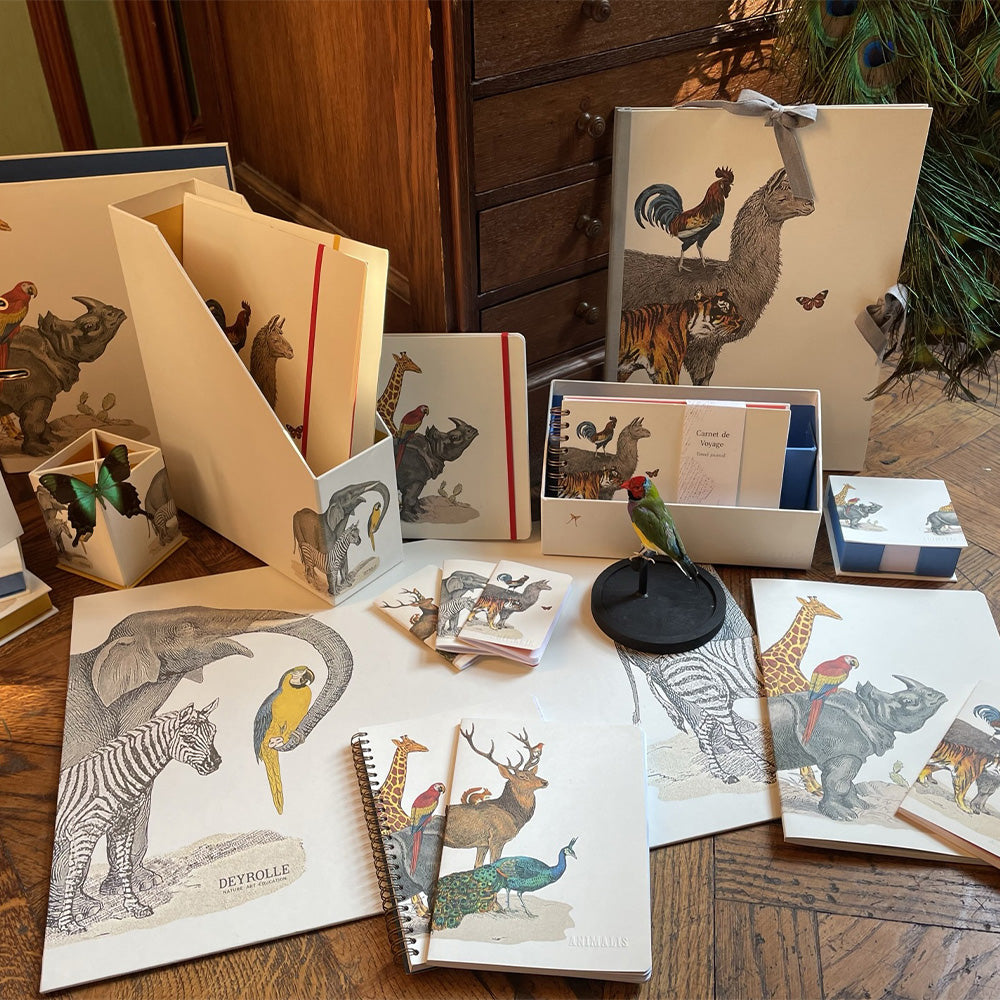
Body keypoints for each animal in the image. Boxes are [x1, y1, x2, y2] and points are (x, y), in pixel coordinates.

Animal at [0, 297, 127, 456]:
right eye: (89, 326)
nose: (117, 312)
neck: (51, 348)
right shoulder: (37, 394)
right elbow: (34, 422)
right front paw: (41, 451)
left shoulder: (34, 395)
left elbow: (41, 421)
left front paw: (56, 439)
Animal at [51, 606, 353, 925]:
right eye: (186, 628)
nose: (279, 742)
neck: (101, 650)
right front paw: (83, 909)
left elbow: (139, 803)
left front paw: (142, 883)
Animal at [442, 725, 548, 867]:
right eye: (522, 776)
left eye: (533, 774)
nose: (545, 782)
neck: (514, 817)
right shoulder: (497, 840)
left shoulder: (483, 844)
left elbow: (477, 865)